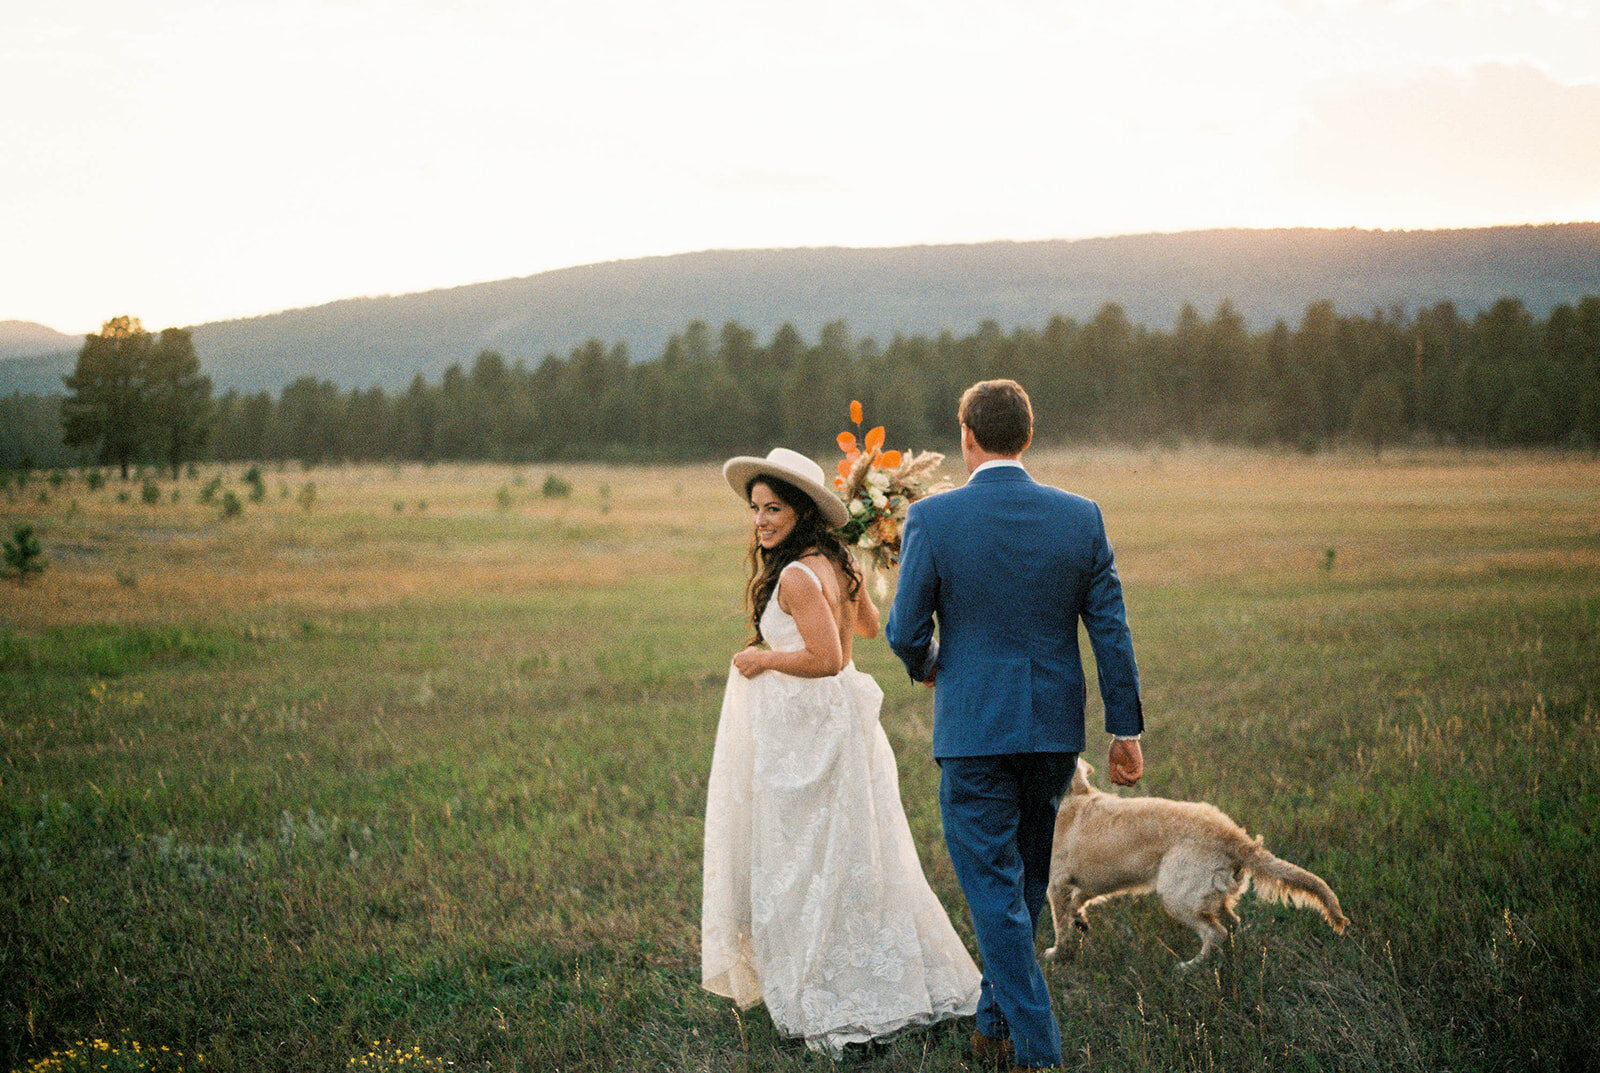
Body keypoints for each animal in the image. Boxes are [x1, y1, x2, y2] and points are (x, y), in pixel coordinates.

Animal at [1043, 761, 1344, 972]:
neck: (1073, 794)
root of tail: (1235, 837)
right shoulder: (1086, 882)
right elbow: (1077, 901)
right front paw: (1079, 920)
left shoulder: (1055, 884)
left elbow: (1061, 925)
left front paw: (1058, 954)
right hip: (1209, 895)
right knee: (1231, 925)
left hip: (1177, 896)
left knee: (1215, 932)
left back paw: (1189, 967)